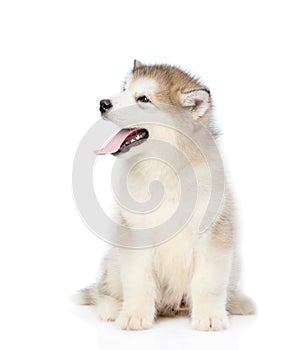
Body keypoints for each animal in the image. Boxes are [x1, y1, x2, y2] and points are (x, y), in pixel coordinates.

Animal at [75, 60, 256, 330]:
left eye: (144, 99)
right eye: (124, 89)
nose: (103, 103)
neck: (164, 170)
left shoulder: (214, 236)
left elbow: (209, 284)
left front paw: (210, 317)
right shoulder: (135, 236)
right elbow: (137, 282)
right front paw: (135, 316)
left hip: (234, 262)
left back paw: (238, 302)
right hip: (114, 259)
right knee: (103, 290)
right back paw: (112, 308)